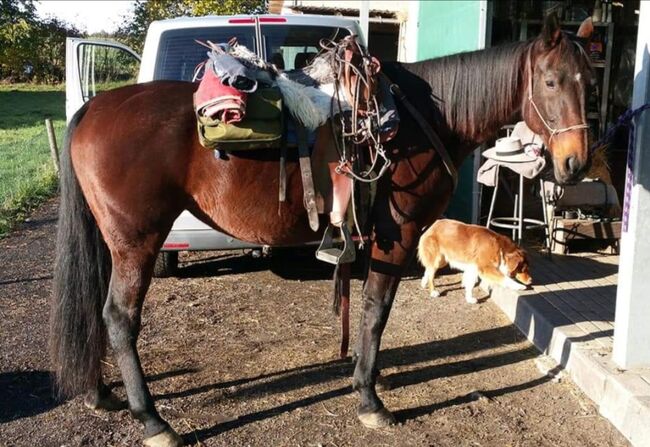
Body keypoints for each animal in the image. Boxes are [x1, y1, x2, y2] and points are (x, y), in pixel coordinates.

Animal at [50, 14, 592, 447]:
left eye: (587, 81)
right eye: (549, 82)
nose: (576, 164)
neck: (418, 121)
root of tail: (95, 108)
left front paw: (369, 378)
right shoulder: (396, 236)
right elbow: (375, 311)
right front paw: (369, 398)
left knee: (97, 309)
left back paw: (102, 394)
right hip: (137, 242)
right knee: (120, 317)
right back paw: (153, 421)